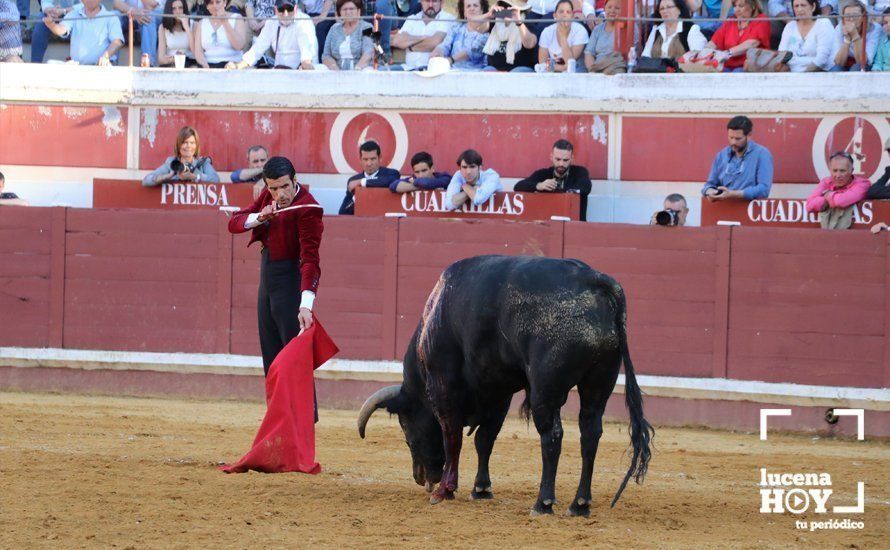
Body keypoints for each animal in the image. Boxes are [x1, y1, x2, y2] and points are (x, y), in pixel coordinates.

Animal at [354, 256, 652, 520]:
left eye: (406, 427)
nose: (422, 478)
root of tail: (594, 279)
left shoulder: (443, 388)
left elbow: (453, 437)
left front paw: (444, 491)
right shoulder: (499, 394)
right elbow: (484, 439)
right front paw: (481, 489)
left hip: (546, 389)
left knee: (552, 436)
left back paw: (543, 503)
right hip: (599, 383)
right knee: (590, 433)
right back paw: (579, 504)